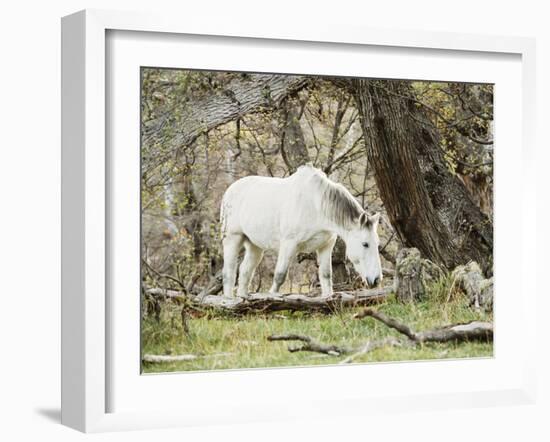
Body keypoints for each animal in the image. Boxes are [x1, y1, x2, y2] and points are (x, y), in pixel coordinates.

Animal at [220, 164, 384, 298]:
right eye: (365, 244)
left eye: (377, 244)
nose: (376, 280)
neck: (315, 205)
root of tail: (230, 190)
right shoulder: (289, 244)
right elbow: (280, 275)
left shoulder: (326, 246)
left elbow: (326, 275)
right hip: (233, 239)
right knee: (229, 272)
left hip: (255, 246)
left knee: (245, 271)